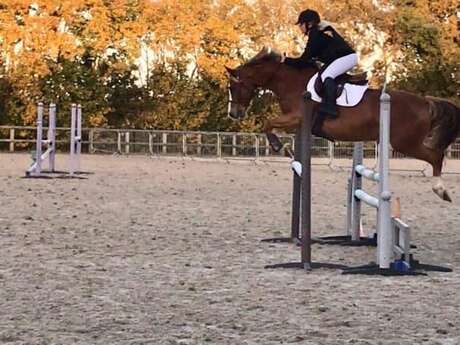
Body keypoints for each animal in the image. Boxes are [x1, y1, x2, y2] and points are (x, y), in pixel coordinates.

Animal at [226, 47, 460, 200]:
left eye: (233, 87)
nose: (233, 113)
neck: (291, 82)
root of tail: (425, 102)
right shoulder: (296, 122)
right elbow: (271, 125)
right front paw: (284, 149)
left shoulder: (297, 117)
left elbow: (267, 123)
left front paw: (279, 147)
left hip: (405, 142)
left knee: (436, 157)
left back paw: (441, 190)